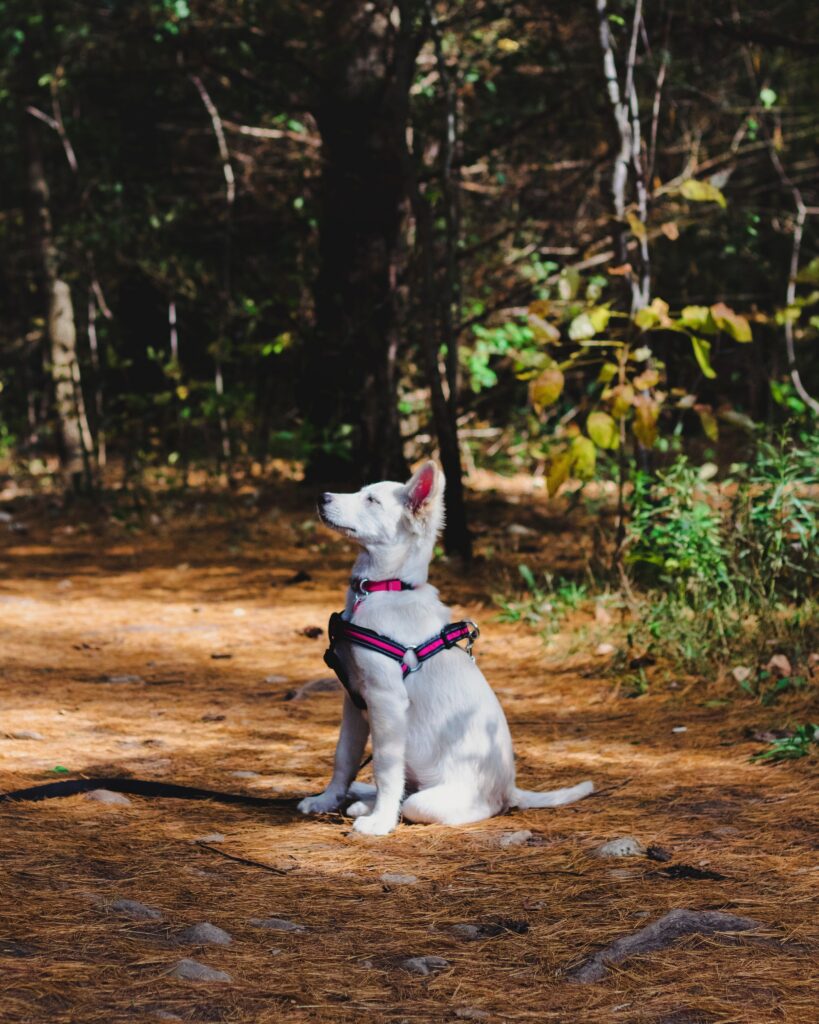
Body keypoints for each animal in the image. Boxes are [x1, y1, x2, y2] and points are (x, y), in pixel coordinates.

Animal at [296, 460, 593, 835]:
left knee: (420, 801)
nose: (321, 497)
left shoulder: (385, 700)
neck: (385, 588)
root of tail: (510, 789)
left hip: (442, 798)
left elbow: (384, 767)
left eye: (372, 500)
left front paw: (380, 821)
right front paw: (326, 800)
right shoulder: (353, 698)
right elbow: (344, 757)